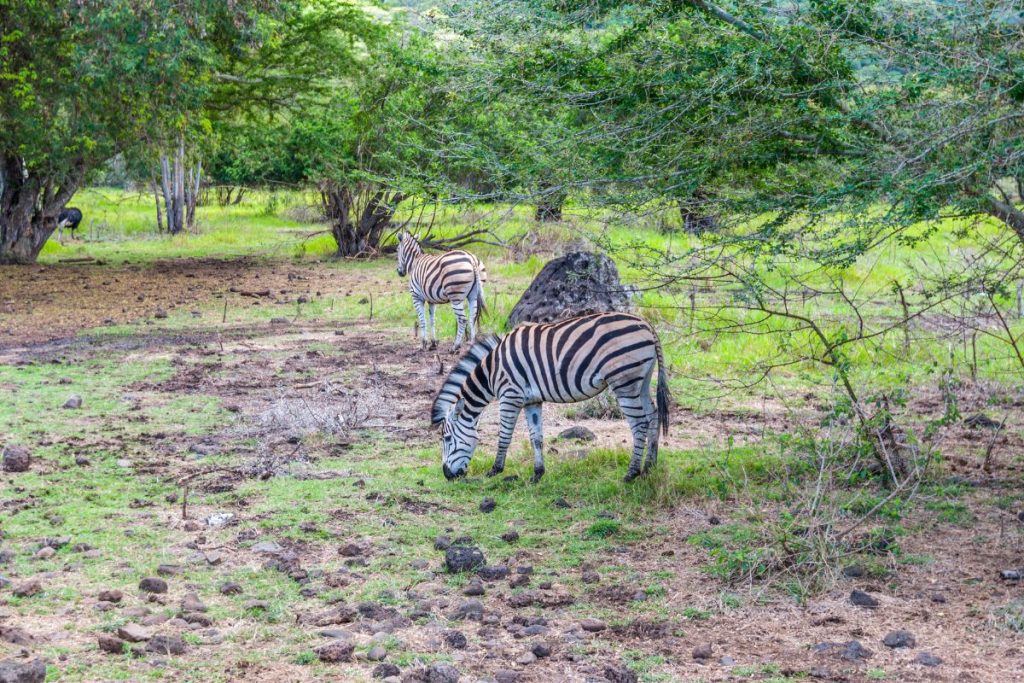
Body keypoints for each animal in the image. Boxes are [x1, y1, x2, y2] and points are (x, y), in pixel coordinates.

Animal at [432, 313, 671, 483]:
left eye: (446, 439)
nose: (447, 476)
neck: (492, 371)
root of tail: (647, 325)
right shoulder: (531, 400)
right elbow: (536, 437)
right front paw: (537, 474)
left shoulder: (510, 396)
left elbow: (504, 436)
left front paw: (495, 470)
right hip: (641, 381)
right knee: (652, 416)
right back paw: (649, 467)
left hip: (624, 382)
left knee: (639, 424)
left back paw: (631, 474)